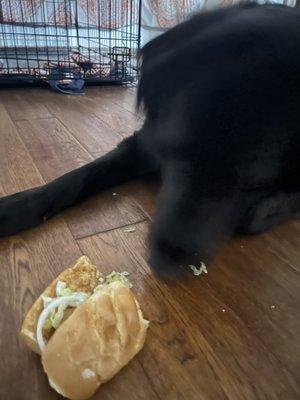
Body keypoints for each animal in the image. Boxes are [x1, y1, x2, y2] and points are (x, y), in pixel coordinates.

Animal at [0, 3, 300, 276]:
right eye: (175, 150)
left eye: (251, 181)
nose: (164, 263)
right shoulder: (146, 143)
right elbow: (76, 178)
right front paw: (14, 209)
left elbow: (256, 216)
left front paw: (261, 208)